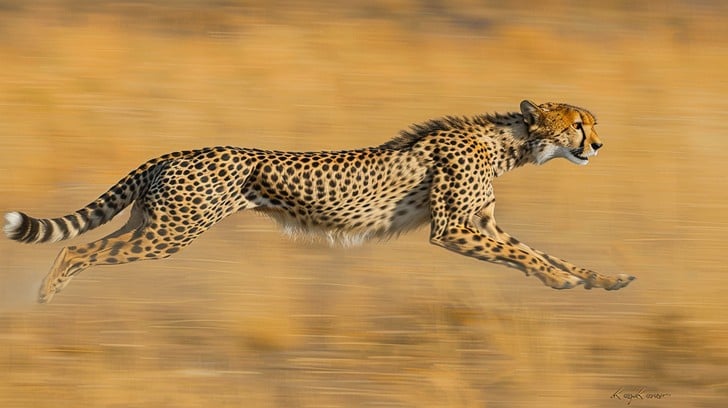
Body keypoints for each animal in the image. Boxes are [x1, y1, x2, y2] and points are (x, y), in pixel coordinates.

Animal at [4, 100, 635, 303]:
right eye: (578, 124)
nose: (600, 145)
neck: (508, 142)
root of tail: (173, 151)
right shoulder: (453, 229)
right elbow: (527, 257)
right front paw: (561, 282)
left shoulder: (483, 224)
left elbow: (539, 251)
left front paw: (599, 279)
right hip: (170, 233)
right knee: (76, 252)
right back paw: (45, 297)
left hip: (153, 226)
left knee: (86, 248)